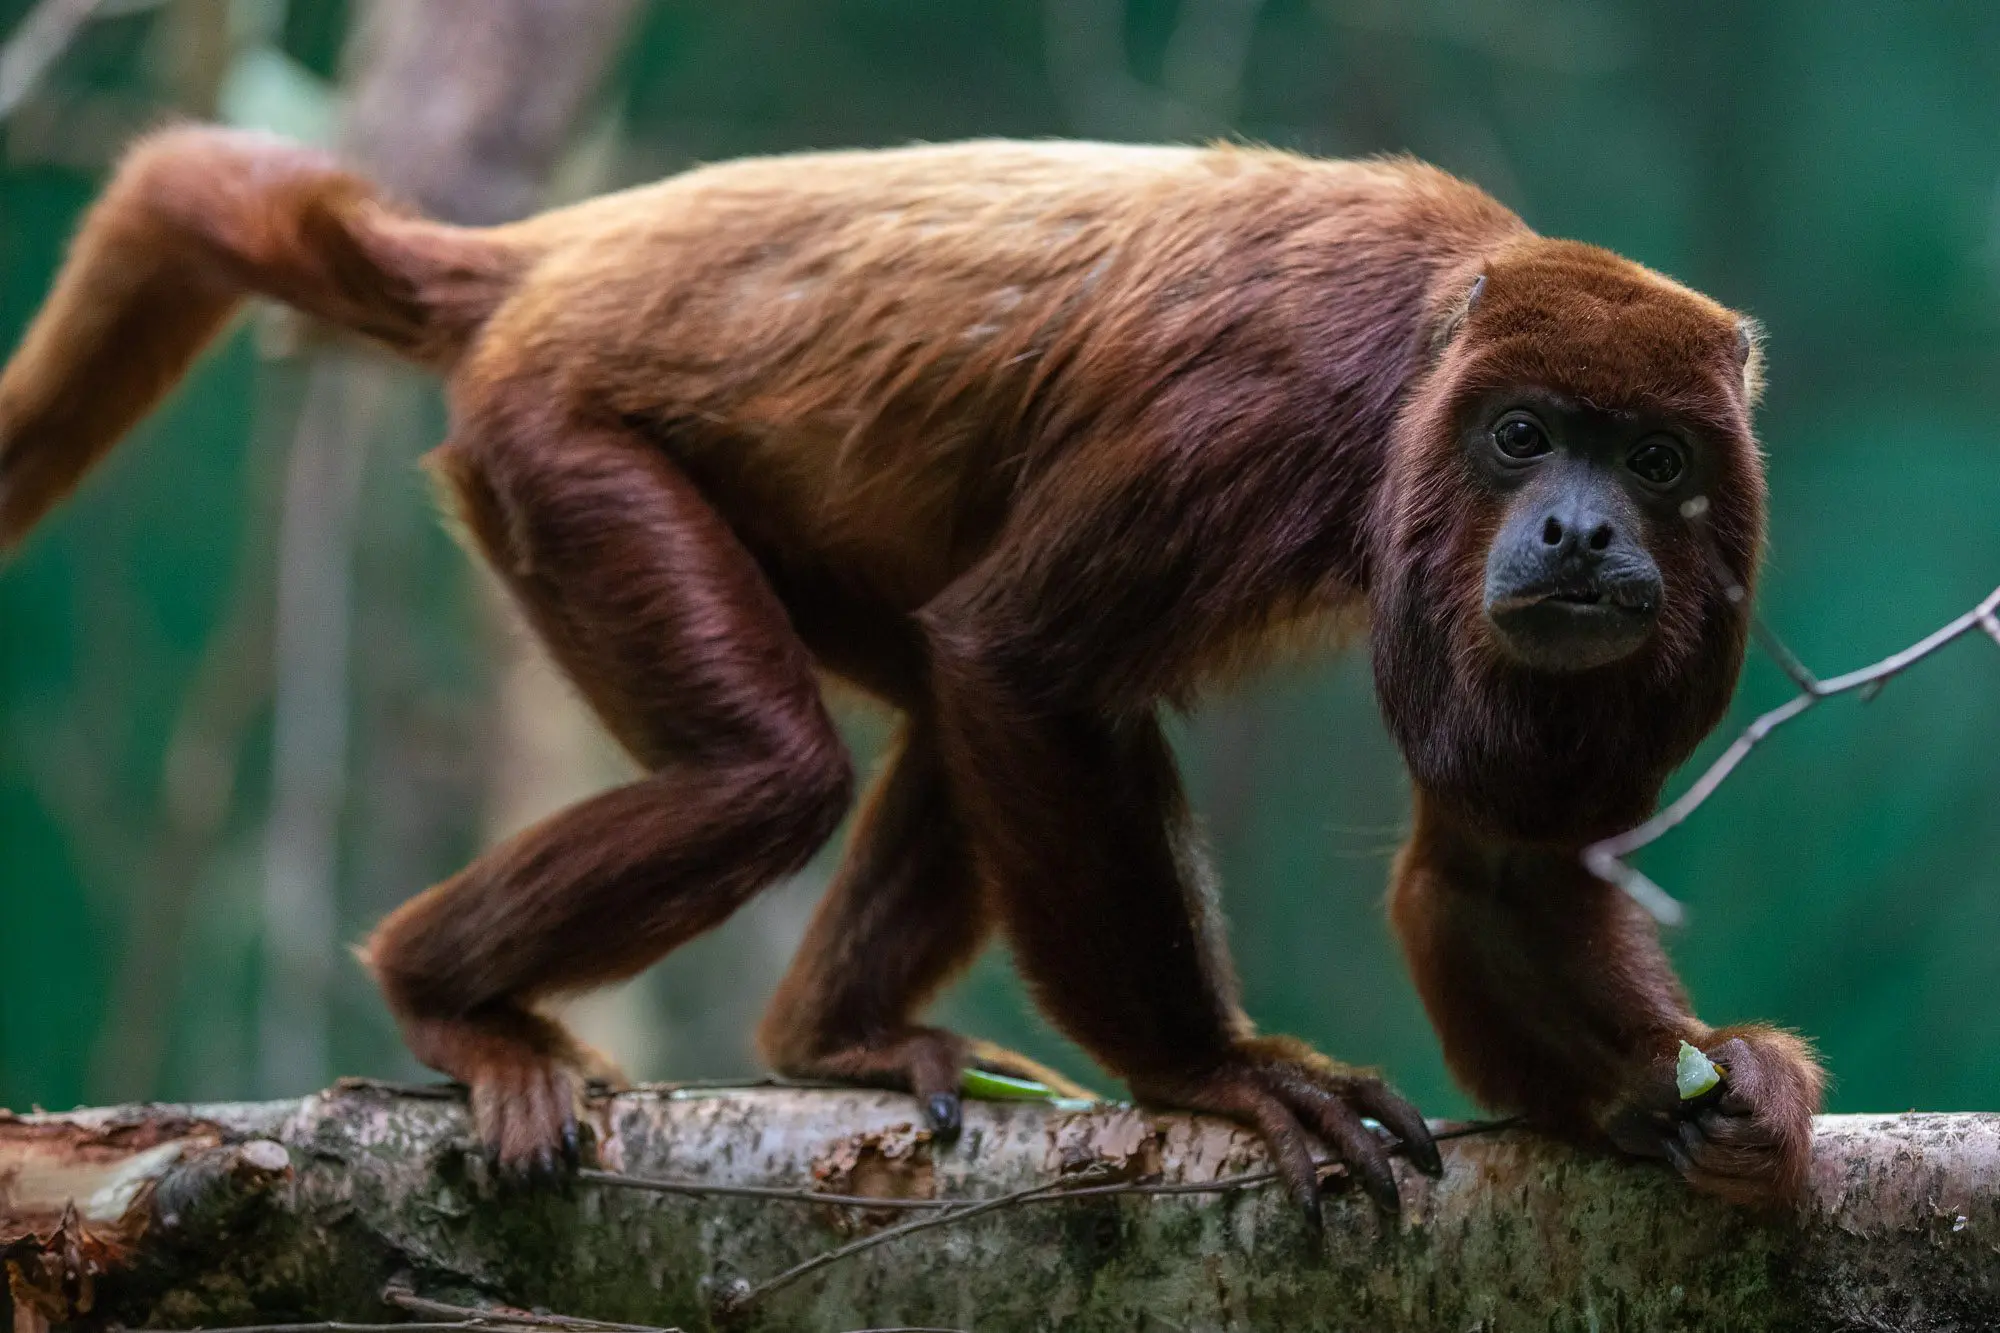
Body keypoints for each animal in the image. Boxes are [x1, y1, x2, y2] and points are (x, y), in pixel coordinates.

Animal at [0, 126, 1822, 1221]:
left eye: (1657, 459)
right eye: (1525, 437)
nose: (1580, 528)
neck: (1422, 369)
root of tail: (560, 254)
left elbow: (1498, 863)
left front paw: (1685, 1090)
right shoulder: (1264, 411)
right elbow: (1020, 660)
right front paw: (1215, 1073)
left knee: (945, 709)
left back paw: (837, 1037)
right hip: (559, 446)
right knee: (789, 763)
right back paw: (449, 999)